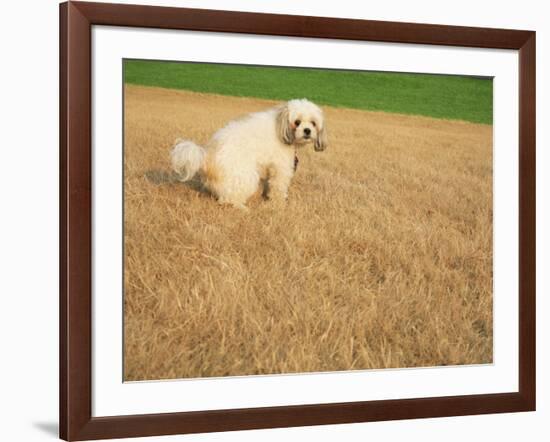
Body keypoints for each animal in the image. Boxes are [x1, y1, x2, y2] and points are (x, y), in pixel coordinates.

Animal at [171, 99, 328, 210]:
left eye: (313, 123)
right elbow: (278, 188)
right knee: (228, 200)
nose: (307, 130)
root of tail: (206, 157)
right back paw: (242, 207)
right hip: (246, 176)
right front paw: (280, 205)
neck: (280, 125)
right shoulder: (281, 168)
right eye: (297, 122)